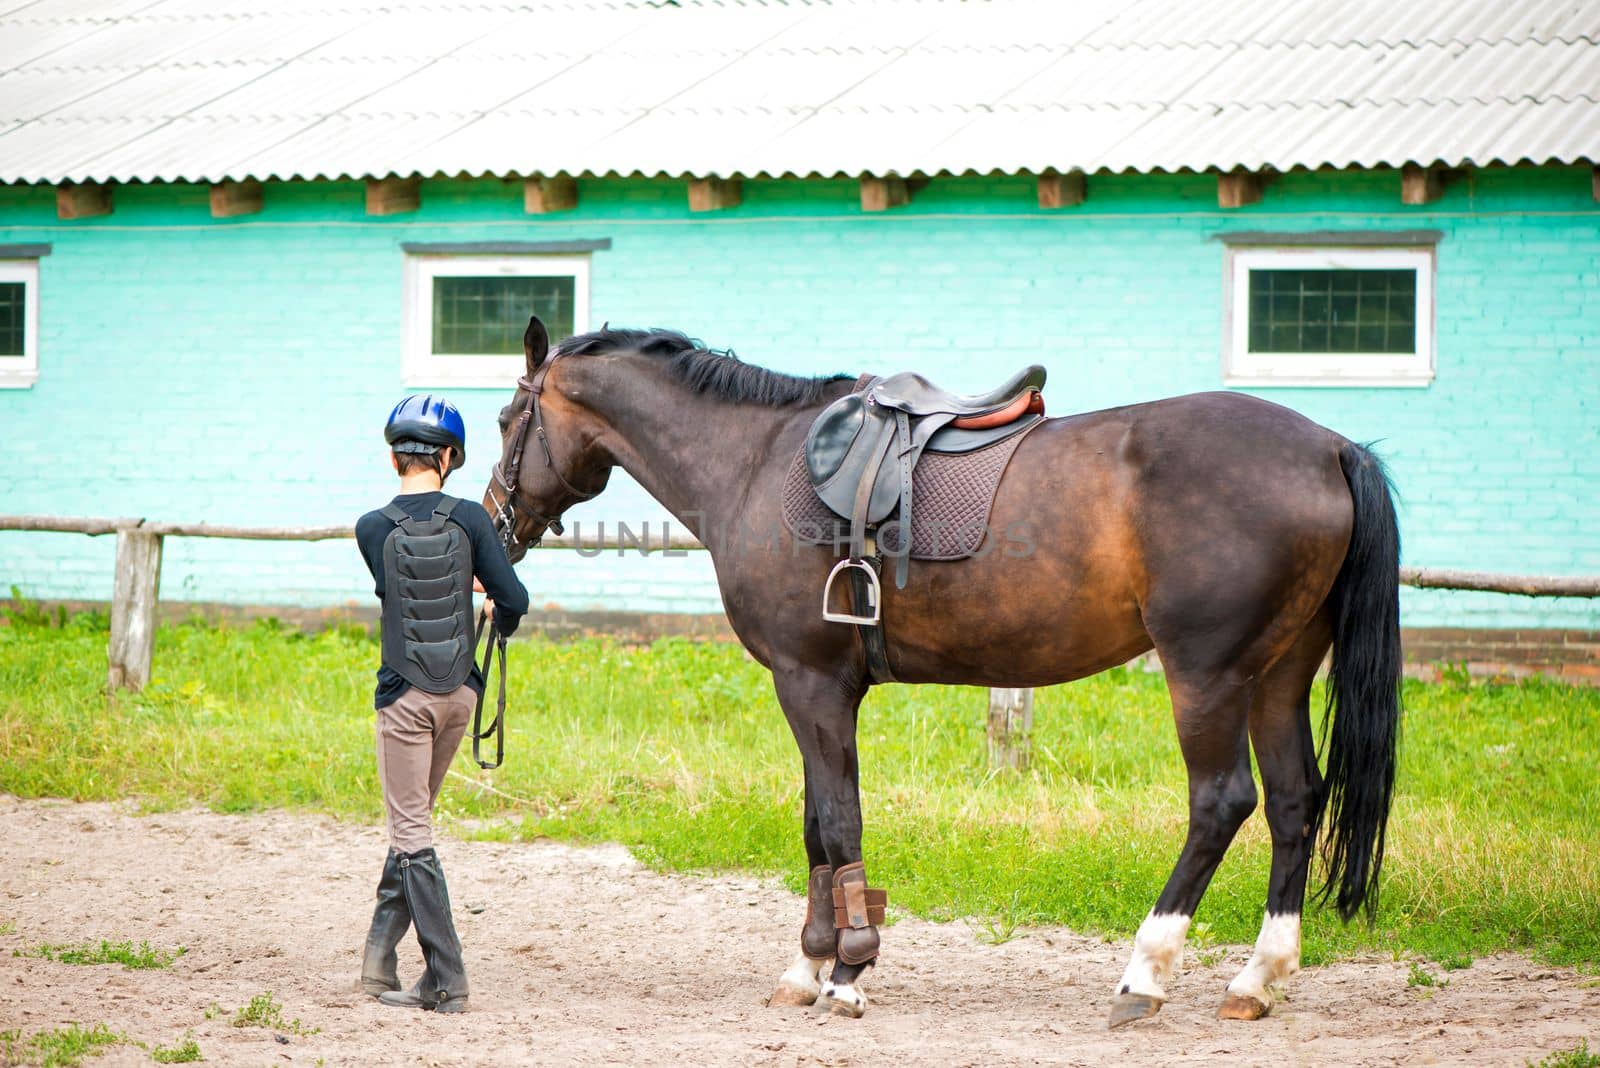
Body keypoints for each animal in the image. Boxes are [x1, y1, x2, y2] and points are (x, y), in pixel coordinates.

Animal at [476, 316, 1401, 1023]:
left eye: (506, 417)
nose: (497, 522)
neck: (757, 459)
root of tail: (1330, 448)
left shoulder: (809, 683)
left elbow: (838, 824)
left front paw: (848, 973)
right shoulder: (818, 690)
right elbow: (817, 826)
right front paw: (808, 968)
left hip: (1206, 674)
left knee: (1221, 803)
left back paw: (1146, 971)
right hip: (1278, 674)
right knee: (1293, 801)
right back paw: (1257, 979)